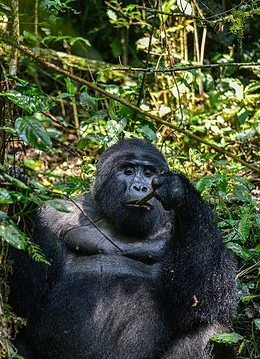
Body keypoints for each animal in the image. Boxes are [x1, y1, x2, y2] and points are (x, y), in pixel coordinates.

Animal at [8, 139, 237, 359]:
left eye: (148, 173)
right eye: (128, 171)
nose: (140, 188)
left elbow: (203, 301)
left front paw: (180, 192)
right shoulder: (54, 214)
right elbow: (27, 295)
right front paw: (20, 200)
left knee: (211, 329)